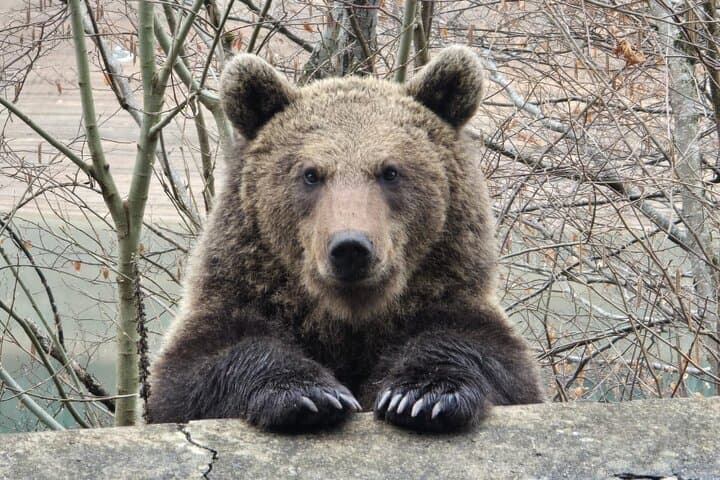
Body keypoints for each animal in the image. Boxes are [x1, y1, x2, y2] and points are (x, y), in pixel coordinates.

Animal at [145, 46, 543, 432]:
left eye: (390, 171)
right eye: (310, 173)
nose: (351, 248)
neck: (347, 318)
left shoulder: (447, 291)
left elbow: (479, 347)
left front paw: (421, 395)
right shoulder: (242, 293)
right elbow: (202, 364)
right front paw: (311, 395)